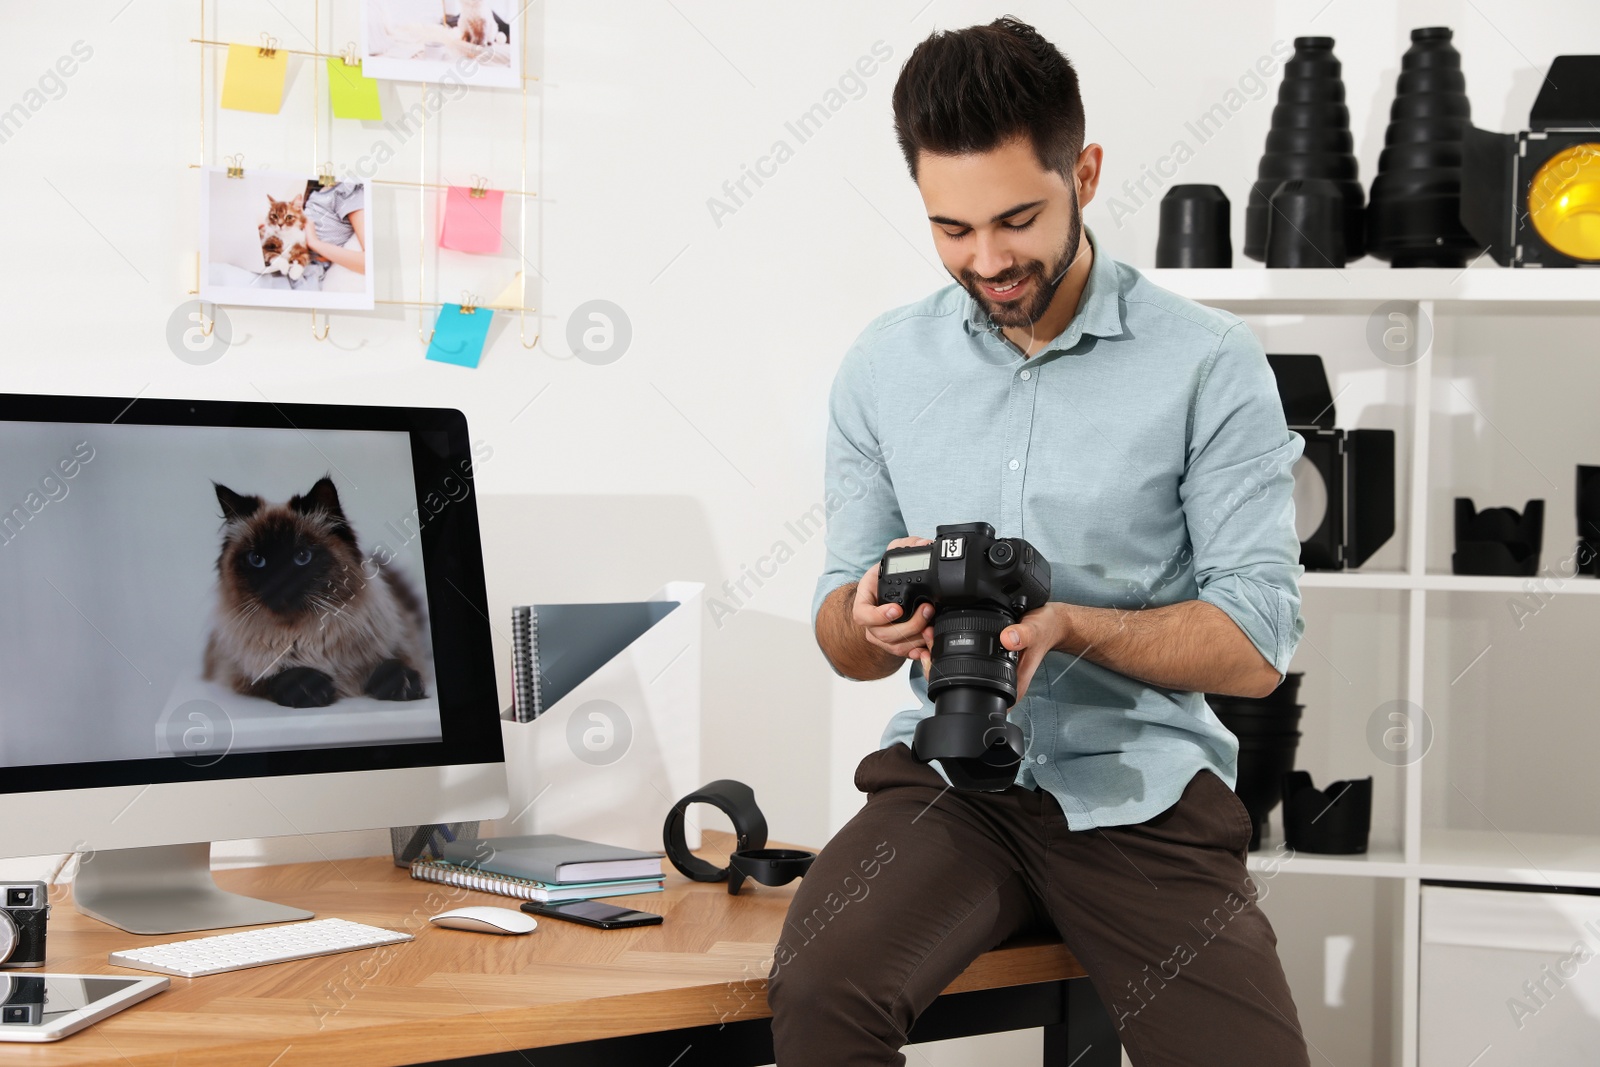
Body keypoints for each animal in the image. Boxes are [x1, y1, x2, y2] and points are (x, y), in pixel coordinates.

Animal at [203, 476, 428, 710]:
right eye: (257, 560)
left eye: (302, 556)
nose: (278, 584)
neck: (304, 636)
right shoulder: (238, 672)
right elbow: (275, 677)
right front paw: (315, 689)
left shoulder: (399, 648)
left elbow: (392, 664)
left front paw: (403, 686)